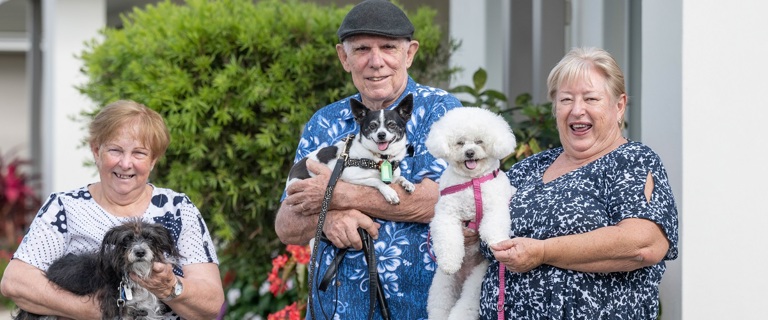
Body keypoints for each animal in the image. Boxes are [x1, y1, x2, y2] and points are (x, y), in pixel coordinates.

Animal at [288, 94, 416, 204]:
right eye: (372, 126)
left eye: (392, 125)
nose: (381, 135)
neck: (381, 158)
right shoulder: (352, 178)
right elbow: (376, 180)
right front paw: (389, 192)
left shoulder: (393, 177)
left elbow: (400, 177)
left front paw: (407, 183)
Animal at [426, 107, 516, 320]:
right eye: (460, 142)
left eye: (479, 141)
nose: (469, 152)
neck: (472, 181)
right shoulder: (446, 214)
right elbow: (448, 238)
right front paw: (450, 261)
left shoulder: (496, 205)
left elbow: (494, 224)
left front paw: (497, 242)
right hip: (443, 286)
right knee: (439, 307)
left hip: (476, 283)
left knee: (466, 306)